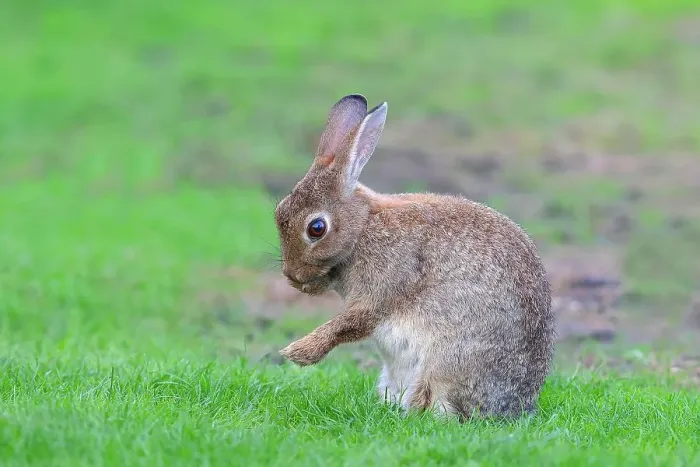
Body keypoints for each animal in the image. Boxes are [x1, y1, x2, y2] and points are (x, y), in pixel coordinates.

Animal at [275, 94, 555, 419]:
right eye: (279, 211)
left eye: (316, 228)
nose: (293, 278)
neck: (363, 226)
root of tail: (516, 405)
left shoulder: (386, 282)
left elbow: (352, 322)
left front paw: (297, 352)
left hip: (444, 364)